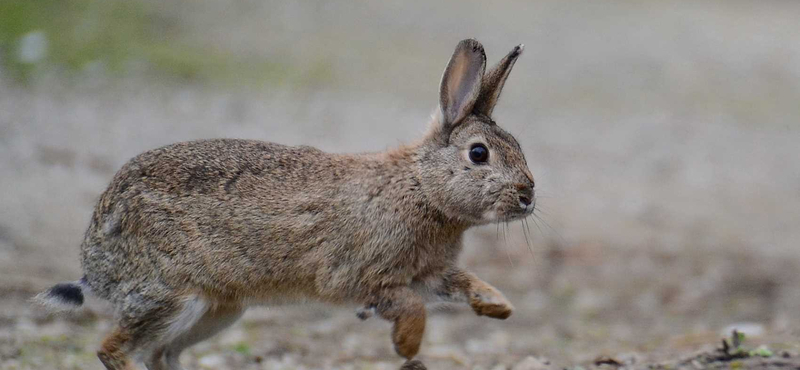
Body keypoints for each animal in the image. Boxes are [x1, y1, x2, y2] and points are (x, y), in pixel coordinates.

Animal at [37, 38, 536, 370]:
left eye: (517, 145)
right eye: (478, 154)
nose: (529, 196)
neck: (420, 188)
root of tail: (95, 257)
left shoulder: (428, 272)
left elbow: (460, 283)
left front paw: (498, 307)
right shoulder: (358, 275)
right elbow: (410, 307)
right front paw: (408, 346)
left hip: (217, 310)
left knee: (160, 353)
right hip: (171, 295)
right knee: (114, 348)